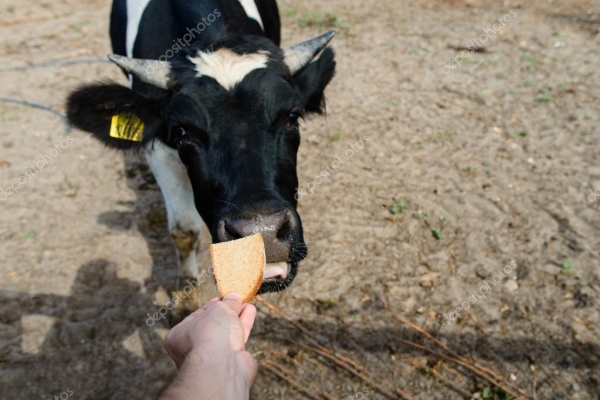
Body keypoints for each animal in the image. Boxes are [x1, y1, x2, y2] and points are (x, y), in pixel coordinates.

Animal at [65, 0, 338, 294]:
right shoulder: (161, 153)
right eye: (182, 131)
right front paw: (185, 295)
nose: (262, 232)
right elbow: (183, 231)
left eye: (292, 116)